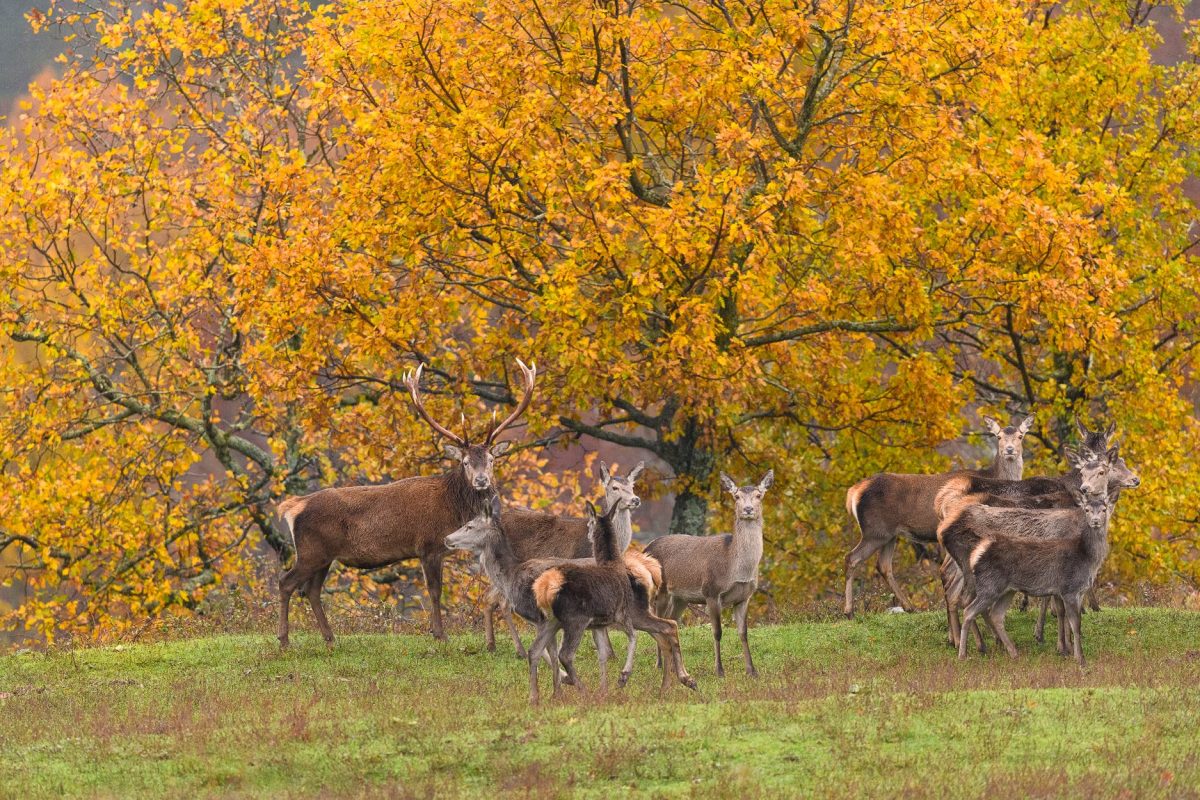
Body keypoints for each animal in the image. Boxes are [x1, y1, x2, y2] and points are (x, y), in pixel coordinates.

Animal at [274, 359, 537, 647]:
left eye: (491, 460)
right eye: (465, 462)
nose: (481, 480)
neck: (454, 508)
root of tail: (293, 507)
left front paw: (436, 632)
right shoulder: (429, 545)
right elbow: (434, 591)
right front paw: (440, 634)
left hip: (324, 556)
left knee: (311, 590)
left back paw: (329, 637)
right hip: (311, 551)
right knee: (286, 582)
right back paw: (284, 639)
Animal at [652, 472, 772, 681]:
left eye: (759, 495)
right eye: (736, 496)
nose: (748, 509)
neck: (734, 568)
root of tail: (646, 547)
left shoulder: (744, 597)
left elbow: (744, 633)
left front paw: (752, 671)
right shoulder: (711, 592)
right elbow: (717, 632)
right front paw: (719, 671)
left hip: (680, 598)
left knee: (671, 620)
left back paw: (674, 667)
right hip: (661, 590)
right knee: (659, 620)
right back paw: (660, 664)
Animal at [844, 417, 1032, 618]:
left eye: (1020, 436)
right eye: (998, 436)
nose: (1009, 450)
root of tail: (854, 491)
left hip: (889, 534)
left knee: (883, 566)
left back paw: (909, 607)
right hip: (874, 530)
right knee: (852, 558)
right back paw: (849, 611)